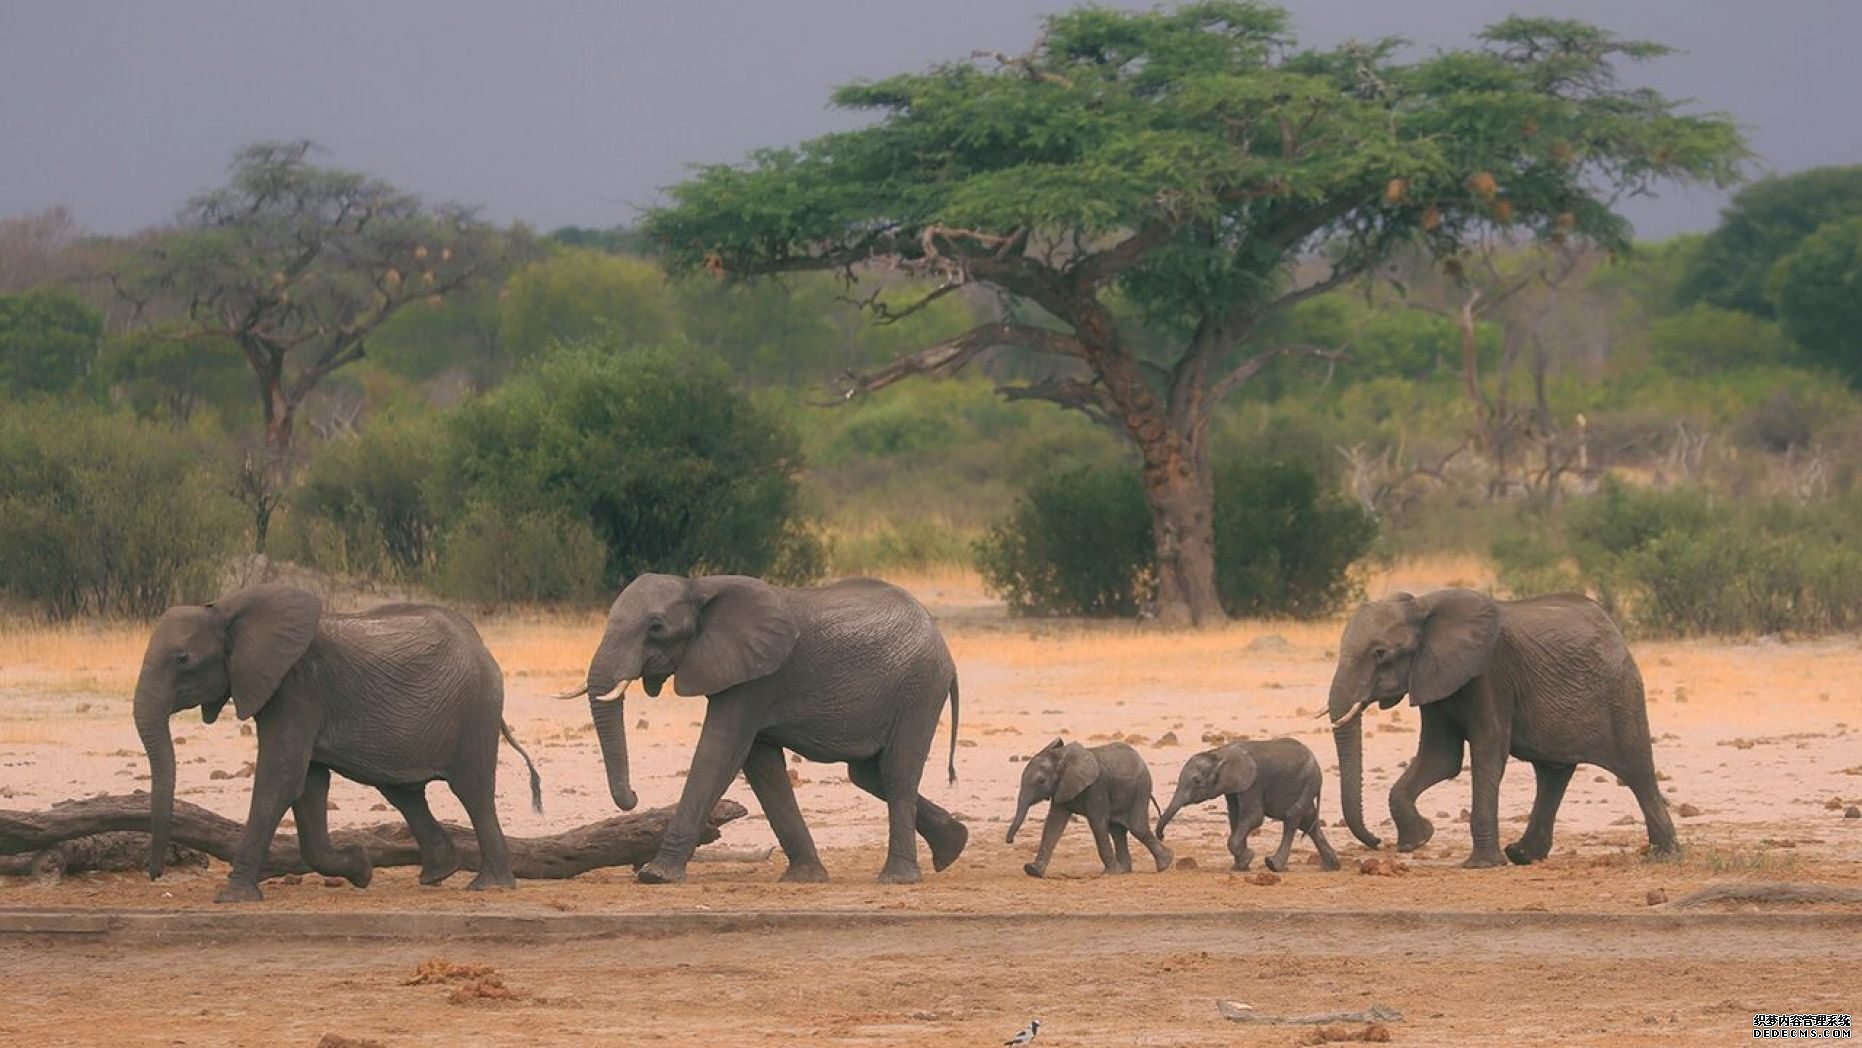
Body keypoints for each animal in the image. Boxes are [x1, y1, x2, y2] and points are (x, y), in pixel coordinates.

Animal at [129, 588, 539, 904]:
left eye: (183, 659)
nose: (156, 874)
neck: (229, 611)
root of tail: (481, 644)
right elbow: (307, 786)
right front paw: (361, 868)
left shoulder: (296, 687)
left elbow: (280, 780)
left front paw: (232, 897)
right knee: (403, 792)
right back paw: (437, 873)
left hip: (476, 707)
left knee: (472, 791)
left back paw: (490, 886)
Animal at [566, 573, 968, 886]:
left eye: (656, 628)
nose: (633, 797)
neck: (698, 586)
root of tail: (944, 648)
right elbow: (762, 768)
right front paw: (804, 878)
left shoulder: (757, 679)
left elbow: (719, 753)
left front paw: (656, 875)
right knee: (869, 774)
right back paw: (953, 847)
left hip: (919, 688)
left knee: (897, 773)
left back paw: (897, 878)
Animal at [1012, 740, 1169, 882]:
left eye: (1041, 781)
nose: (1010, 840)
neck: (1061, 756)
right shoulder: (1061, 787)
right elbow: (1053, 824)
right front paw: (1033, 871)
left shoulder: (1097, 786)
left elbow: (1097, 823)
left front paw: (1109, 874)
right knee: (1117, 831)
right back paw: (1125, 870)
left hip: (1141, 788)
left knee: (1137, 827)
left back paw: (1165, 864)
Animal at [1146, 737, 1340, 878]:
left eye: (1197, 781)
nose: (1162, 836)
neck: (1219, 753)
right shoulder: (1233, 788)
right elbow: (1236, 817)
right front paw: (1241, 866)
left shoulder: (1252, 782)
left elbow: (1254, 816)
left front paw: (1247, 858)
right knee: (1308, 821)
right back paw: (1332, 867)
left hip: (1310, 780)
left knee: (1293, 816)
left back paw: (1274, 865)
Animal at [1325, 591, 1675, 871]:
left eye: (1379, 653)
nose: (1377, 841)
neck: (1424, 607)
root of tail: (1614, 628)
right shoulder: (1433, 677)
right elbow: (1441, 757)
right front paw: (1419, 839)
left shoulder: (1489, 673)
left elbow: (1487, 748)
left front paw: (1481, 865)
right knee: (1552, 773)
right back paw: (1522, 855)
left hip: (1620, 691)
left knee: (1636, 769)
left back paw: (1664, 855)